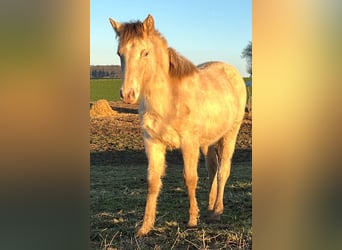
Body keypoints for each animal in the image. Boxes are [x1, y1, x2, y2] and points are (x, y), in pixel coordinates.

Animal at [109, 13, 246, 236]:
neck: (169, 100)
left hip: (230, 134)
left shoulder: (189, 143)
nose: (128, 94)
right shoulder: (153, 143)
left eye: (145, 52)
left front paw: (191, 220)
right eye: (120, 53)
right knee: (212, 168)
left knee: (223, 169)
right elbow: (153, 181)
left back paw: (217, 211)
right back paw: (209, 207)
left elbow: (190, 178)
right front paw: (145, 227)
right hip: (207, 141)